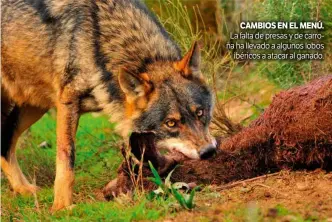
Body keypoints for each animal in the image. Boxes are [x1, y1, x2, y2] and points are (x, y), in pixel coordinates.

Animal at [0, 0, 215, 212]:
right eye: (170, 123)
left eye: (200, 113)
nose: (209, 151)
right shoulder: (67, 102)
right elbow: (66, 156)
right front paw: (62, 206)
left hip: (35, 106)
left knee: (6, 141)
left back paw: (24, 189)